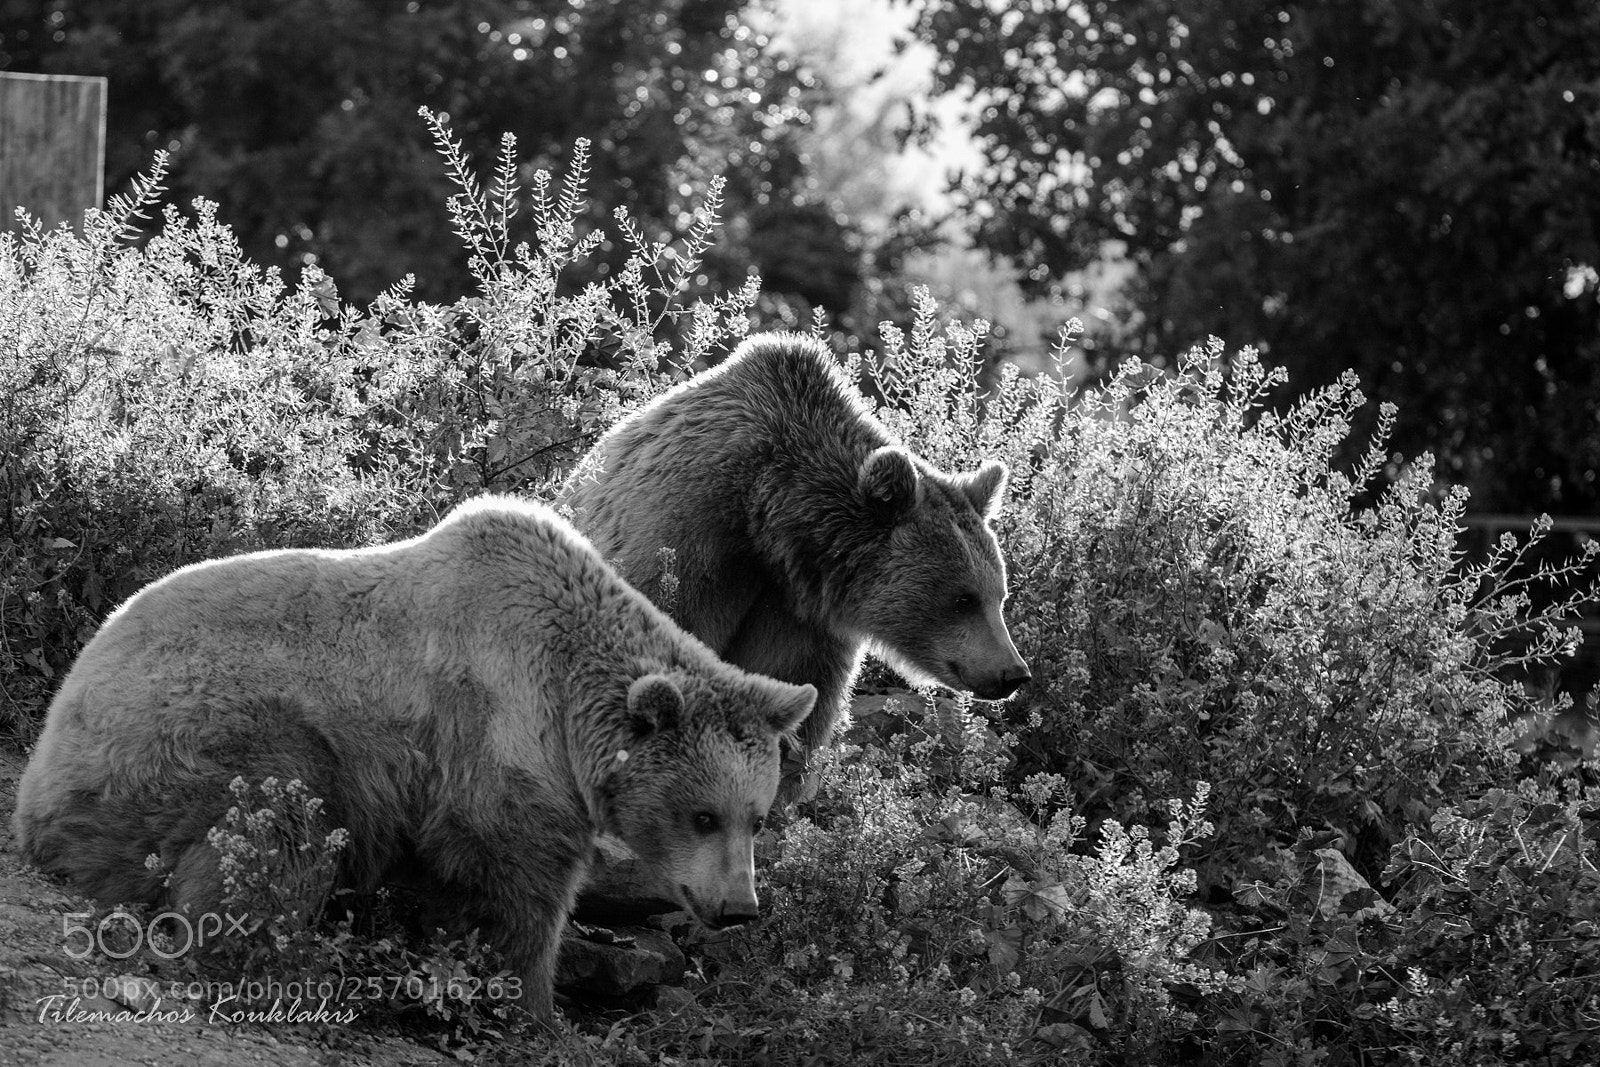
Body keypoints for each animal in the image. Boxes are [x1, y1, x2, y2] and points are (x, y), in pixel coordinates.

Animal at [11, 495, 816, 1024]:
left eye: (757, 816)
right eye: (703, 814)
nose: (738, 907)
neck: (571, 699)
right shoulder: (495, 726)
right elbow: (515, 879)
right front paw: (536, 1007)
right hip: (194, 731)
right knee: (277, 822)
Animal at [559, 331, 1029, 793]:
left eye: (1000, 596)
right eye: (962, 598)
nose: (1013, 673)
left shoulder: (802, 616)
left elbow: (798, 698)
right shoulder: (684, 541)